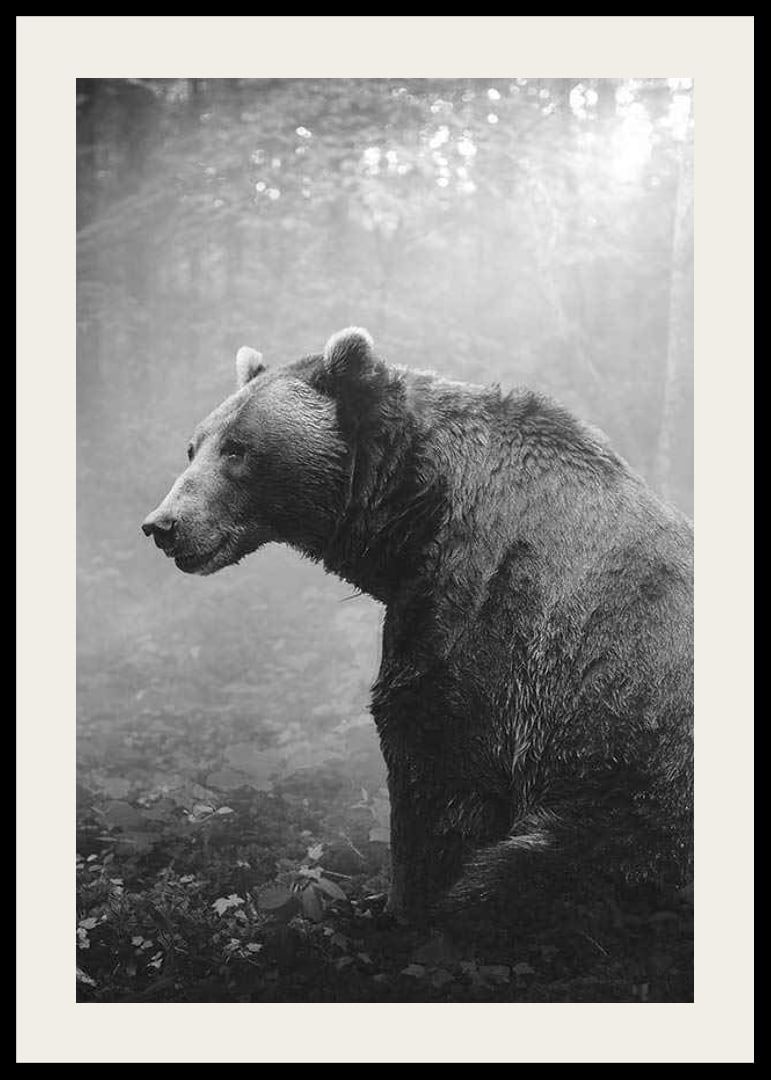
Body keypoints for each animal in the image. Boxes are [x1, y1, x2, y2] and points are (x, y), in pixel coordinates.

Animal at [142, 328, 693, 925]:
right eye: (194, 446)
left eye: (238, 448)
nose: (163, 525)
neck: (413, 517)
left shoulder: (488, 618)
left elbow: (437, 770)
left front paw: (399, 906)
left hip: (633, 811)